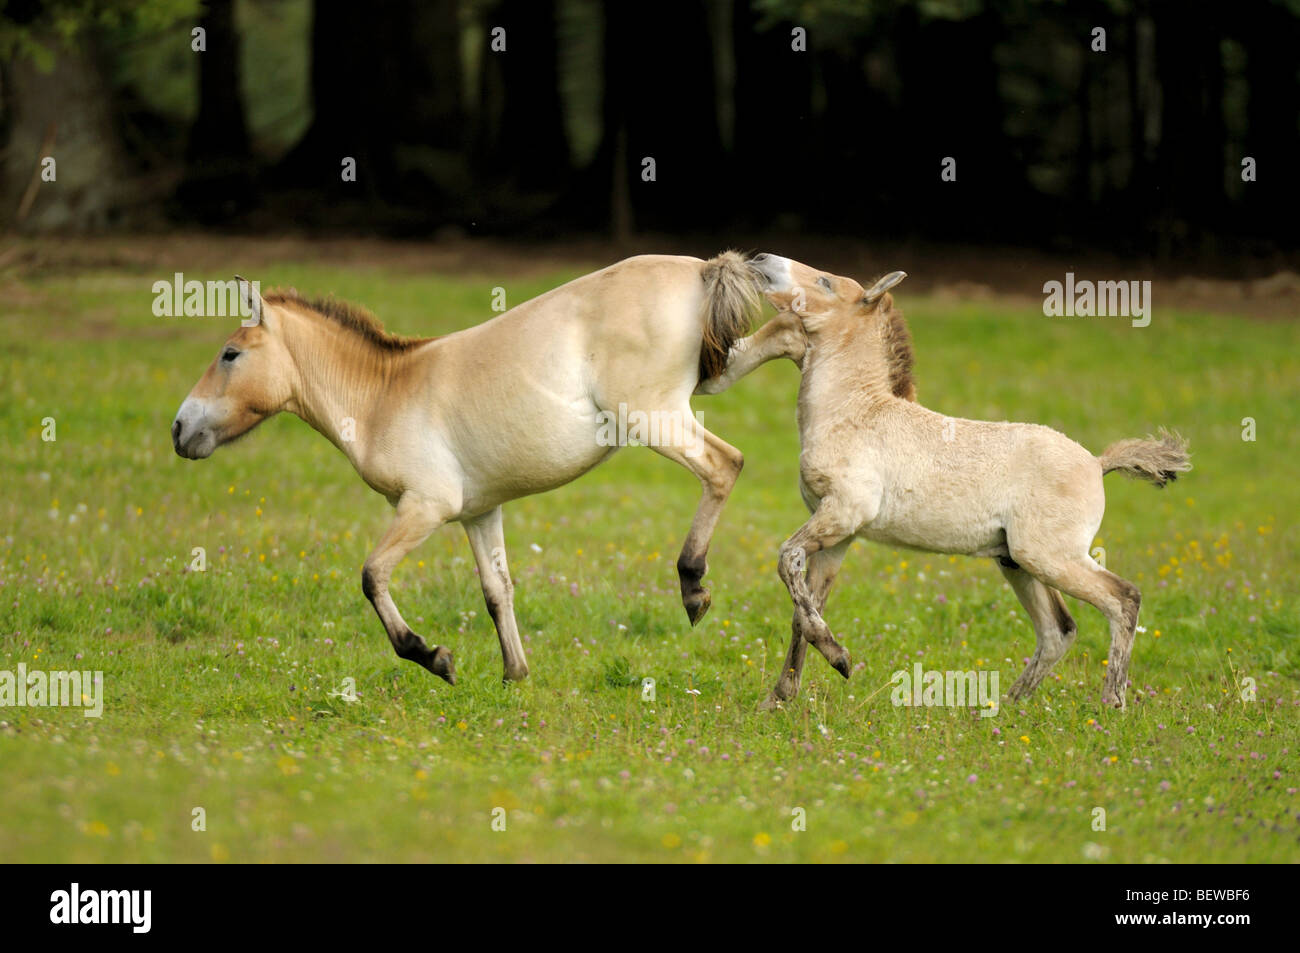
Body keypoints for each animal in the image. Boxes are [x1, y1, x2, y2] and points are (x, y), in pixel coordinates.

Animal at [172, 252, 759, 686]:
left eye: (229, 354)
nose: (180, 429)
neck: (383, 395)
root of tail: (700, 270)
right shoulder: (479, 513)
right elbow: (497, 591)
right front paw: (515, 676)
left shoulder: (426, 507)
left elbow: (372, 575)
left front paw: (431, 656)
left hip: (656, 417)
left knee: (724, 465)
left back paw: (692, 585)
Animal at [702, 256, 1190, 712]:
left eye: (825, 281)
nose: (762, 261)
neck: (856, 415)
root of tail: (1095, 462)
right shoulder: (838, 536)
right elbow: (804, 610)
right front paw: (780, 698)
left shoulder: (842, 514)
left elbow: (786, 561)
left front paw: (839, 660)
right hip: (1017, 561)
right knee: (1059, 630)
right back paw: (1006, 705)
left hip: (1051, 557)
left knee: (1122, 599)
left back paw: (1111, 703)